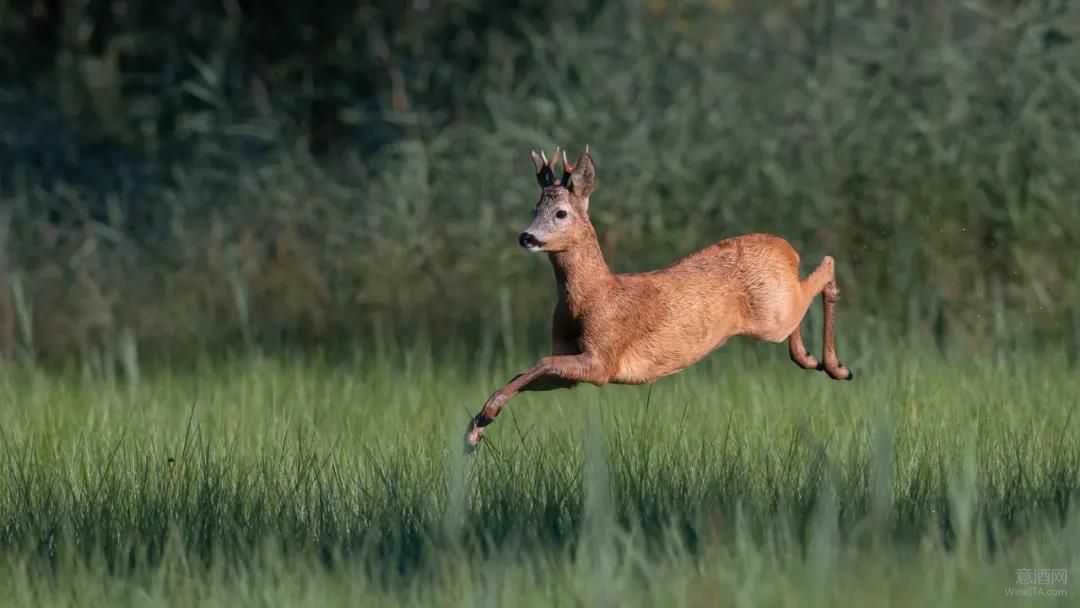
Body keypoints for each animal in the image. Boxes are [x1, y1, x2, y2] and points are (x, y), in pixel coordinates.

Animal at [464, 145, 851, 451]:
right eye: (533, 209)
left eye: (561, 213)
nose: (526, 237)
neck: (592, 296)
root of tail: (787, 249)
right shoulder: (573, 364)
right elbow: (526, 371)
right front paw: (476, 428)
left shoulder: (604, 358)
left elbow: (539, 362)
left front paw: (486, 414)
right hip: (776, 307)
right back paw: (809, 358)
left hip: (772, 315)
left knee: (826, 267)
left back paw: (836, 367)